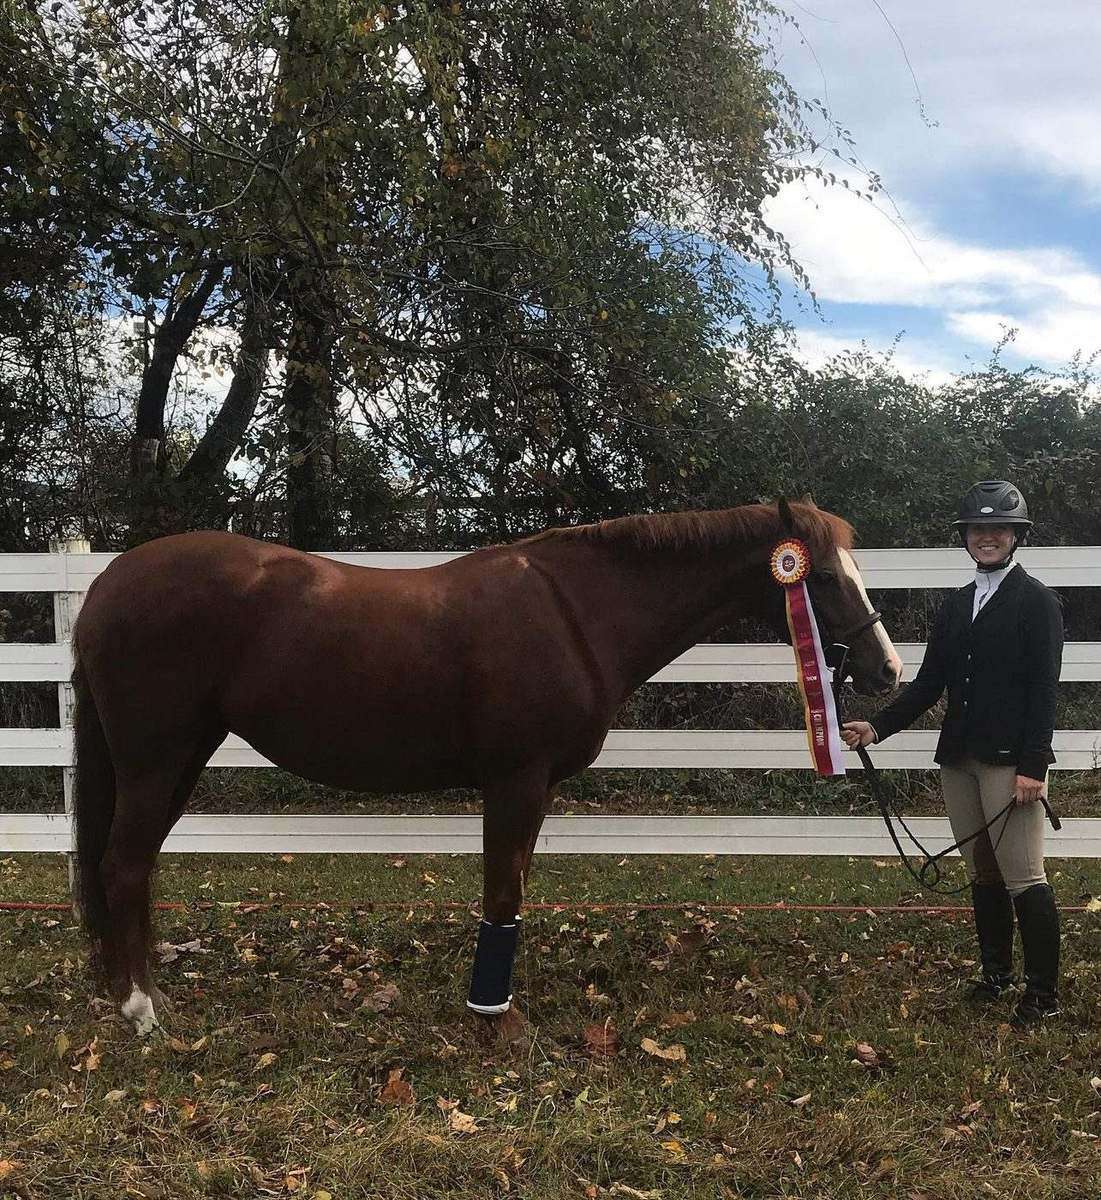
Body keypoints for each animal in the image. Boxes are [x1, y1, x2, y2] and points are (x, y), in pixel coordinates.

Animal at [70, 497, 901, 1034]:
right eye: (821, 577)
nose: (887, 670)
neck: (576, 612)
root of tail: (106, 585)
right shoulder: (515, 781)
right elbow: (502, 894)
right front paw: (493, 1020)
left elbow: (515, 891)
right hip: (155, 757)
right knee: (122, 865)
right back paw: (139, 1012)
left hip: (180, 757)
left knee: (134, 868)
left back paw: (148, 997)